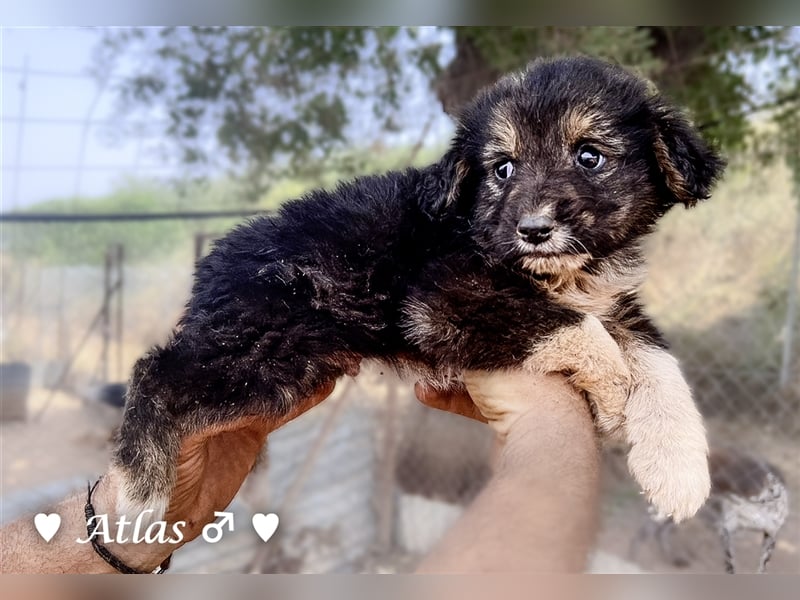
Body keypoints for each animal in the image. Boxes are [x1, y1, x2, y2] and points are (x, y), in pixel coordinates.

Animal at [114, 57, 724, 524]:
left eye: (589, 156)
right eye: (502, 169)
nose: (532, 230)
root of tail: (214, 265)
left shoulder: (613, 303)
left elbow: (658, 362)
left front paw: (677, 472)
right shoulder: (442, 299)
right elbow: (578, 328)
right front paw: (614, 393)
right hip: (265, 348)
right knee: (154, 372)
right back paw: (137, 489)